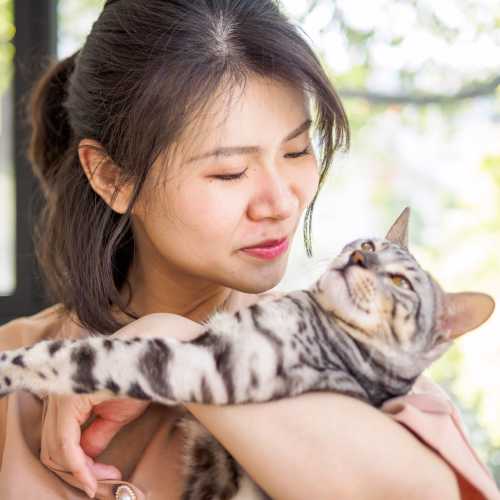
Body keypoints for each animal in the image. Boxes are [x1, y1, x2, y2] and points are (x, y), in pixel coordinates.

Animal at [0, 207, 494, 500]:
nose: (360, 259)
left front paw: (14, 369)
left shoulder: (205, 365)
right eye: (370, 246)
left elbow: (78, 356)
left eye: (400, 282)